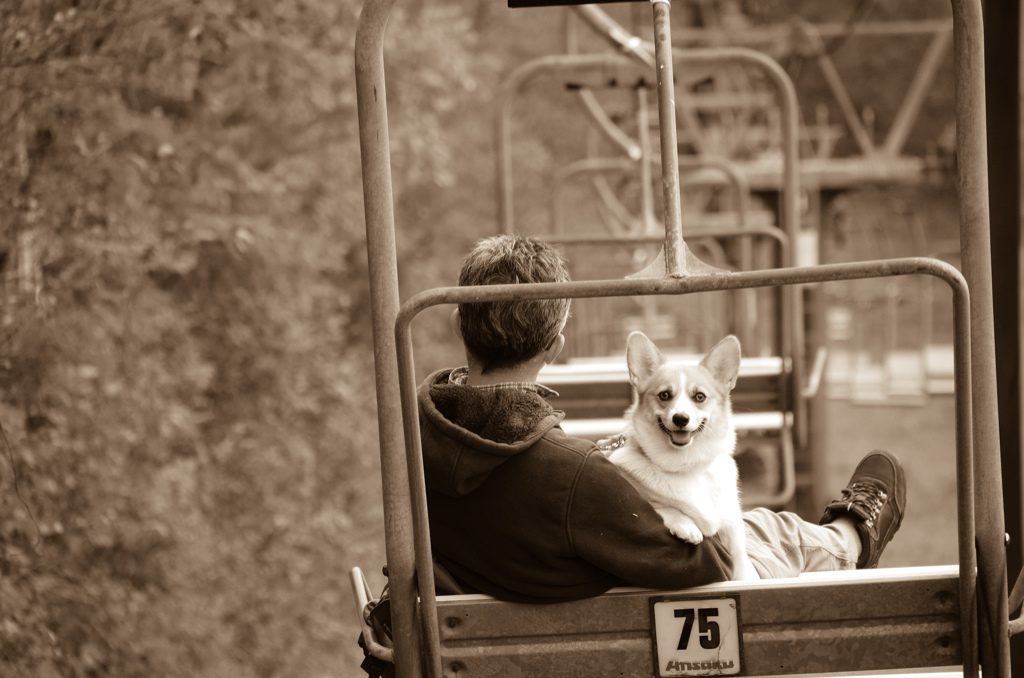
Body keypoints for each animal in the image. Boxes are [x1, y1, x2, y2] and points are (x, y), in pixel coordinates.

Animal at [606, 331, 761, 581]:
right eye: (664, 395)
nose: (680, 419)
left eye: (699, 396)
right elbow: (659, 505)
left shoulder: (731, 522)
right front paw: (686, 525)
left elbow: (741, 560)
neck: (688, 465)